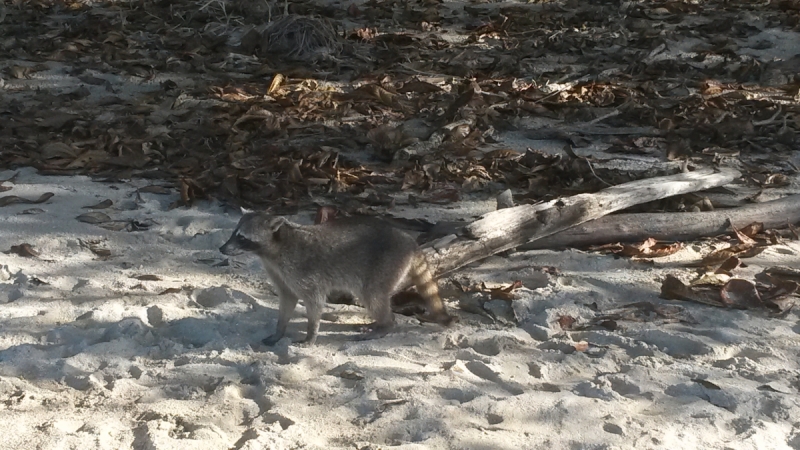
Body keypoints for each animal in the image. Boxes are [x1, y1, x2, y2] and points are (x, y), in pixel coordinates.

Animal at [219, 212, 456, 344]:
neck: (273, 249)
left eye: (242, 237)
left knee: (373, 296)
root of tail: (410, 242)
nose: (222, 249)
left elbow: (314, 302)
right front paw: (280, 329)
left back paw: (386, 325)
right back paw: (378, 323)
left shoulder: (303, 272)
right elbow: (287, 300)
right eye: (233, 233)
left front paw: (311, 334)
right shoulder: (279, 274)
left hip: (386, 264)